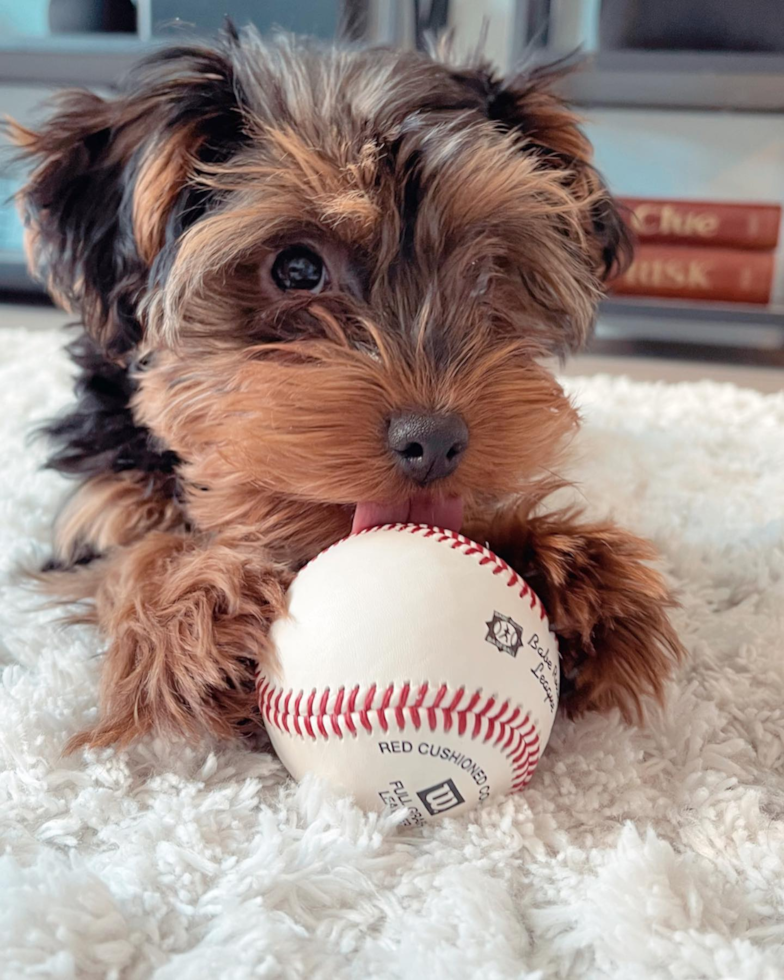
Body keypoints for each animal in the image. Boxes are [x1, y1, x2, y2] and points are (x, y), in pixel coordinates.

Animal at [10, 28, 688, 752]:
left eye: (487, 273)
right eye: (296, 268)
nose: (435, 442)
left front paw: (573, 574)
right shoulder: (99, 505)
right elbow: (124, 555)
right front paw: (197, 606)